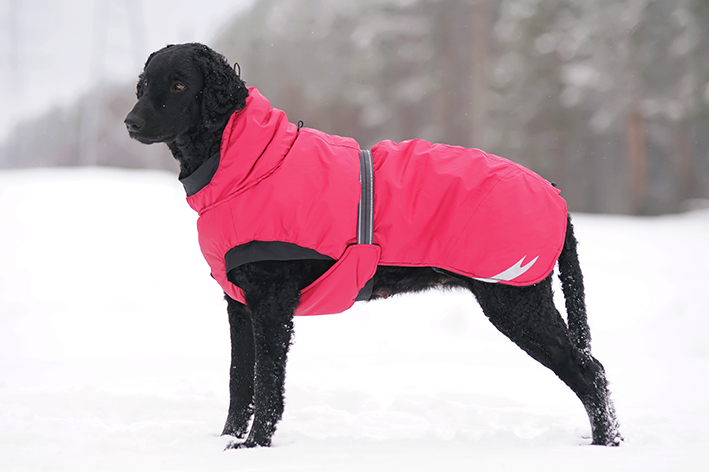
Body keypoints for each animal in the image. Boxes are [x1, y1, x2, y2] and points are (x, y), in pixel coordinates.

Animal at [126, 42, 620, 448]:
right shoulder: (239, 304)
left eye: (179, 84)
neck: (248, 161)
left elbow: (266, 385)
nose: (130, 122)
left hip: (517, 303)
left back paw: (605, 444)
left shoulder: (271, 303)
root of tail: (556, 194)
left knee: (590, 372)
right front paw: (226, 441)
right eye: (144, 85)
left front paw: (254, 447)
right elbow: (238, 383)